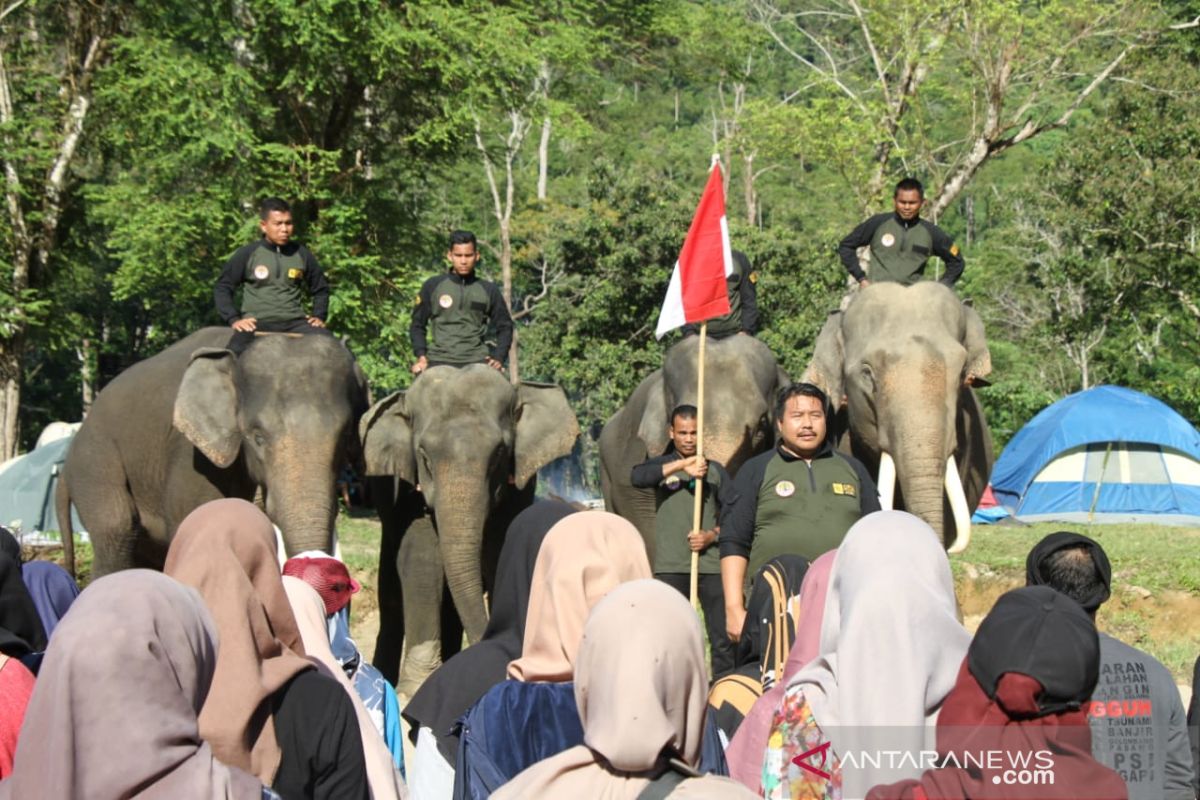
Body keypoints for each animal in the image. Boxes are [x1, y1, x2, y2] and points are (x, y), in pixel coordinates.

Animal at [357, 364, 578, 695]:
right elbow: (422, 560)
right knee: (391, 586)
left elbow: (499, 553)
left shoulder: (518, 487)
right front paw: (415, 685)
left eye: (499, 453)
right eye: (424, 456)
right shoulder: (409, 491)